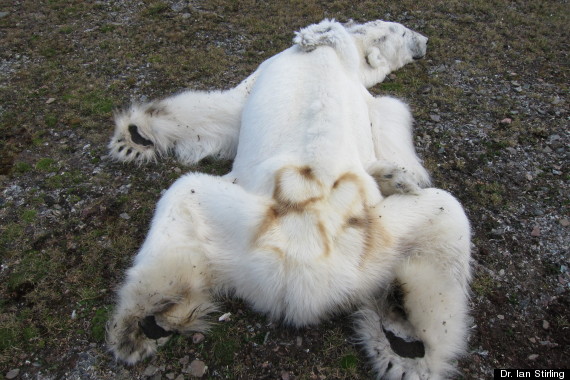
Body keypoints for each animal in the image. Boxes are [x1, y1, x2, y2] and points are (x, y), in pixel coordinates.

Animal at [107, 19, 470, 378]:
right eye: (403, 31)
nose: (425, 40)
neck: (341, 49)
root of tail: (303, 274)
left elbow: (227, 108)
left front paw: (397, 176)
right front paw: (134, 138)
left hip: (329, 239)